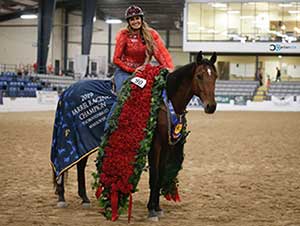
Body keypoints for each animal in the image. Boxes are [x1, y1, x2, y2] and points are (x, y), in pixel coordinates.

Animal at [52, 50, 217, 220]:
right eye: (199, 76)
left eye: (215, 76)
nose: (211, 106)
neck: (164, 101)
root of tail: (67, 91)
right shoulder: (155, 145)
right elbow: (154, 176)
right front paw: (151, 210)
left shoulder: (166, 145)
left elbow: (161, 174)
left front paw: (157, 207)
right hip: (67, 137)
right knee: (62, 165)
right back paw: (62, 198)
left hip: (83, 140)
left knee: (80, 164)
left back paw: (84, 199)